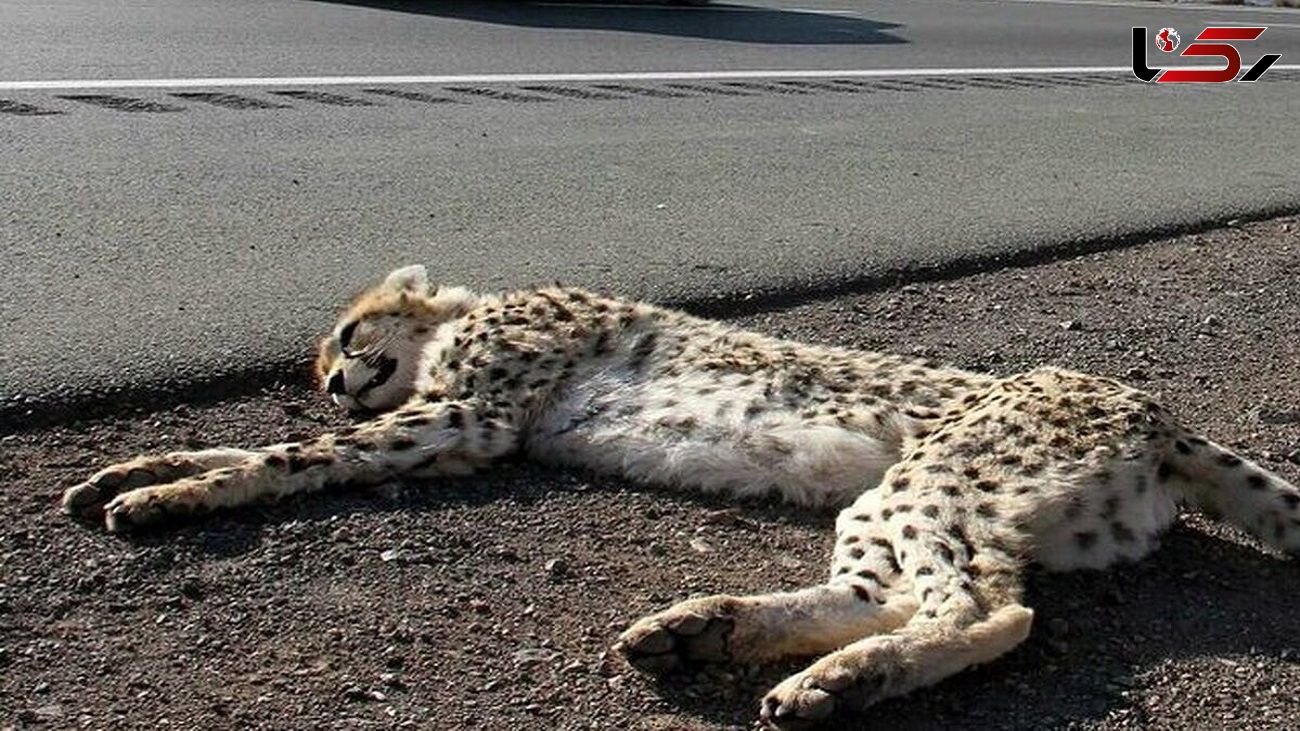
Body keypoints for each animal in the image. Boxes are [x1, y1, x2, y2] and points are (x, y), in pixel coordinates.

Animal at [63, 264, 1300, 723]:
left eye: (346, 330)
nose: (328, 378)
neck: (462, 320)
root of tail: (1147, 404)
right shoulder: (443, 436)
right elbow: (275, 449)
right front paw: (132, 473)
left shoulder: (464, 423)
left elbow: (278, 458)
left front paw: (171, 491)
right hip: (914, 503)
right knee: (904, 592)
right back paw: (702, 630)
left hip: (932, 478)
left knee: (984, 607)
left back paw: (831, 682)